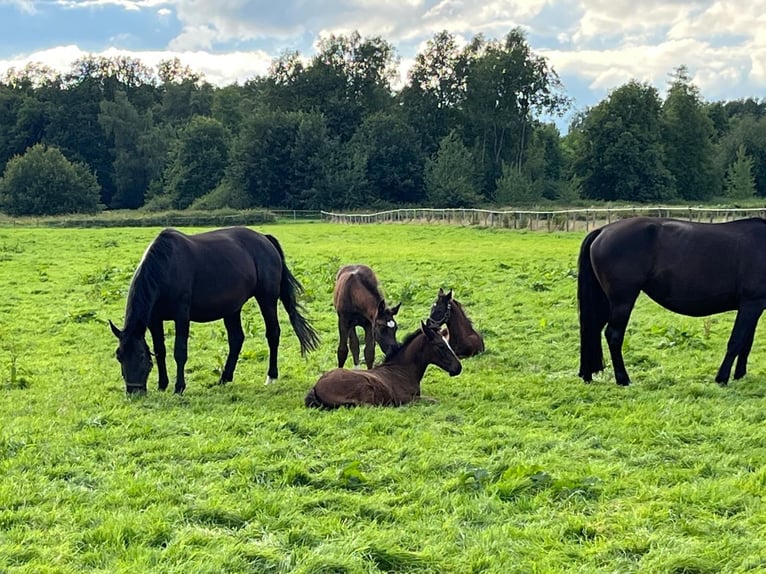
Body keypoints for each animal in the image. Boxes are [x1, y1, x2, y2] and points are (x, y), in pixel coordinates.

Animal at [109, 226, 320, 394]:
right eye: (119, 356)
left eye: (140, 356)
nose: (134, 392)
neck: (165, 267)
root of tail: (265, 239)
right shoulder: (154, 319)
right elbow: (160, 351)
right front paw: (162, 385)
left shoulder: (181, 316)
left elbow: (179, 351)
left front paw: (179, 387)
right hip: (232, 308)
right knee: (237, 338)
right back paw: (225, 378)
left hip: (266, 299)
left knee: (273, 333)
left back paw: (271, 377)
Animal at [304, 320, 462, 408]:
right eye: (440, 346)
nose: (458, 368)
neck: (402, 371)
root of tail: (317, 385)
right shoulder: (405, 399)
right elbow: (433, 400)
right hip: (364, 387)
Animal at [578, 216, 766, 386]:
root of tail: (602, 230)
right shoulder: (751, 304)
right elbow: (736, 342)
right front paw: (722, 378)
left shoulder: (753, 307)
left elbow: (746, 343)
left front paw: (740, 375)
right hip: (622, 301)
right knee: (613, 335)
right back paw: (623, 379)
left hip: (605, 302)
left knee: (592, 330)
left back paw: (587, 375)